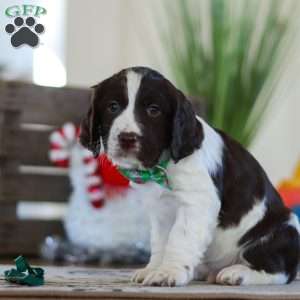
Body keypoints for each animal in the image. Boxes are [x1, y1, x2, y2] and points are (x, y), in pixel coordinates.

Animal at [80, 67, 300, 288]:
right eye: (113, 107)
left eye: (153, 110)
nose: (127, 138)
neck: (162, 165)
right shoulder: (160, 210)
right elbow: (160, 241)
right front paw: (154, 269)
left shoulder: (197, 202)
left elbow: (180, 238)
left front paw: (168, 272)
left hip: (281, 230)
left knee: (280, 270)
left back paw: (238, 273)